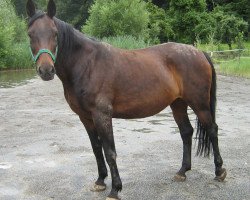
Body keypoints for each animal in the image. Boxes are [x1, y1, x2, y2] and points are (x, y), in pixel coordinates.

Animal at [25, 0, 227, 199]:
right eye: (30, 34)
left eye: (55, 33)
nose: (46, 70)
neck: (87, 64)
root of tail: (199, 52)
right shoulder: (86, 117)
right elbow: (96, 148)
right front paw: (100, 181)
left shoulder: (102, 115)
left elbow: (109, 151)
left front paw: (115, 190)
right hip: (178, 103)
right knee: (186, 132)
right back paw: (182, 171)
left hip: (199, 104)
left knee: (212, 130)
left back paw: (219, 171)